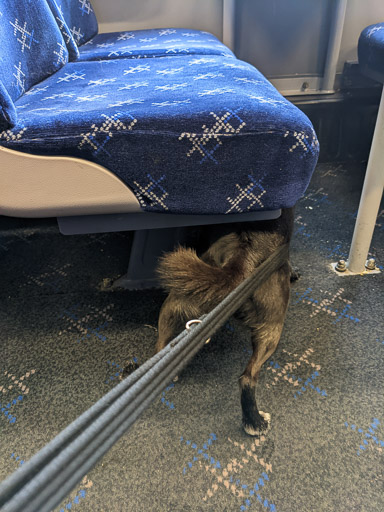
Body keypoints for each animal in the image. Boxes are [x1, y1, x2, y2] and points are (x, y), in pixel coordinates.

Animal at [154, 206, 296, 434]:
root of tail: (242, 258)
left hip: (175, 303)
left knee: (161, 346)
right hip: (273, 325)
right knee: (247, 378)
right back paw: (255, 421)